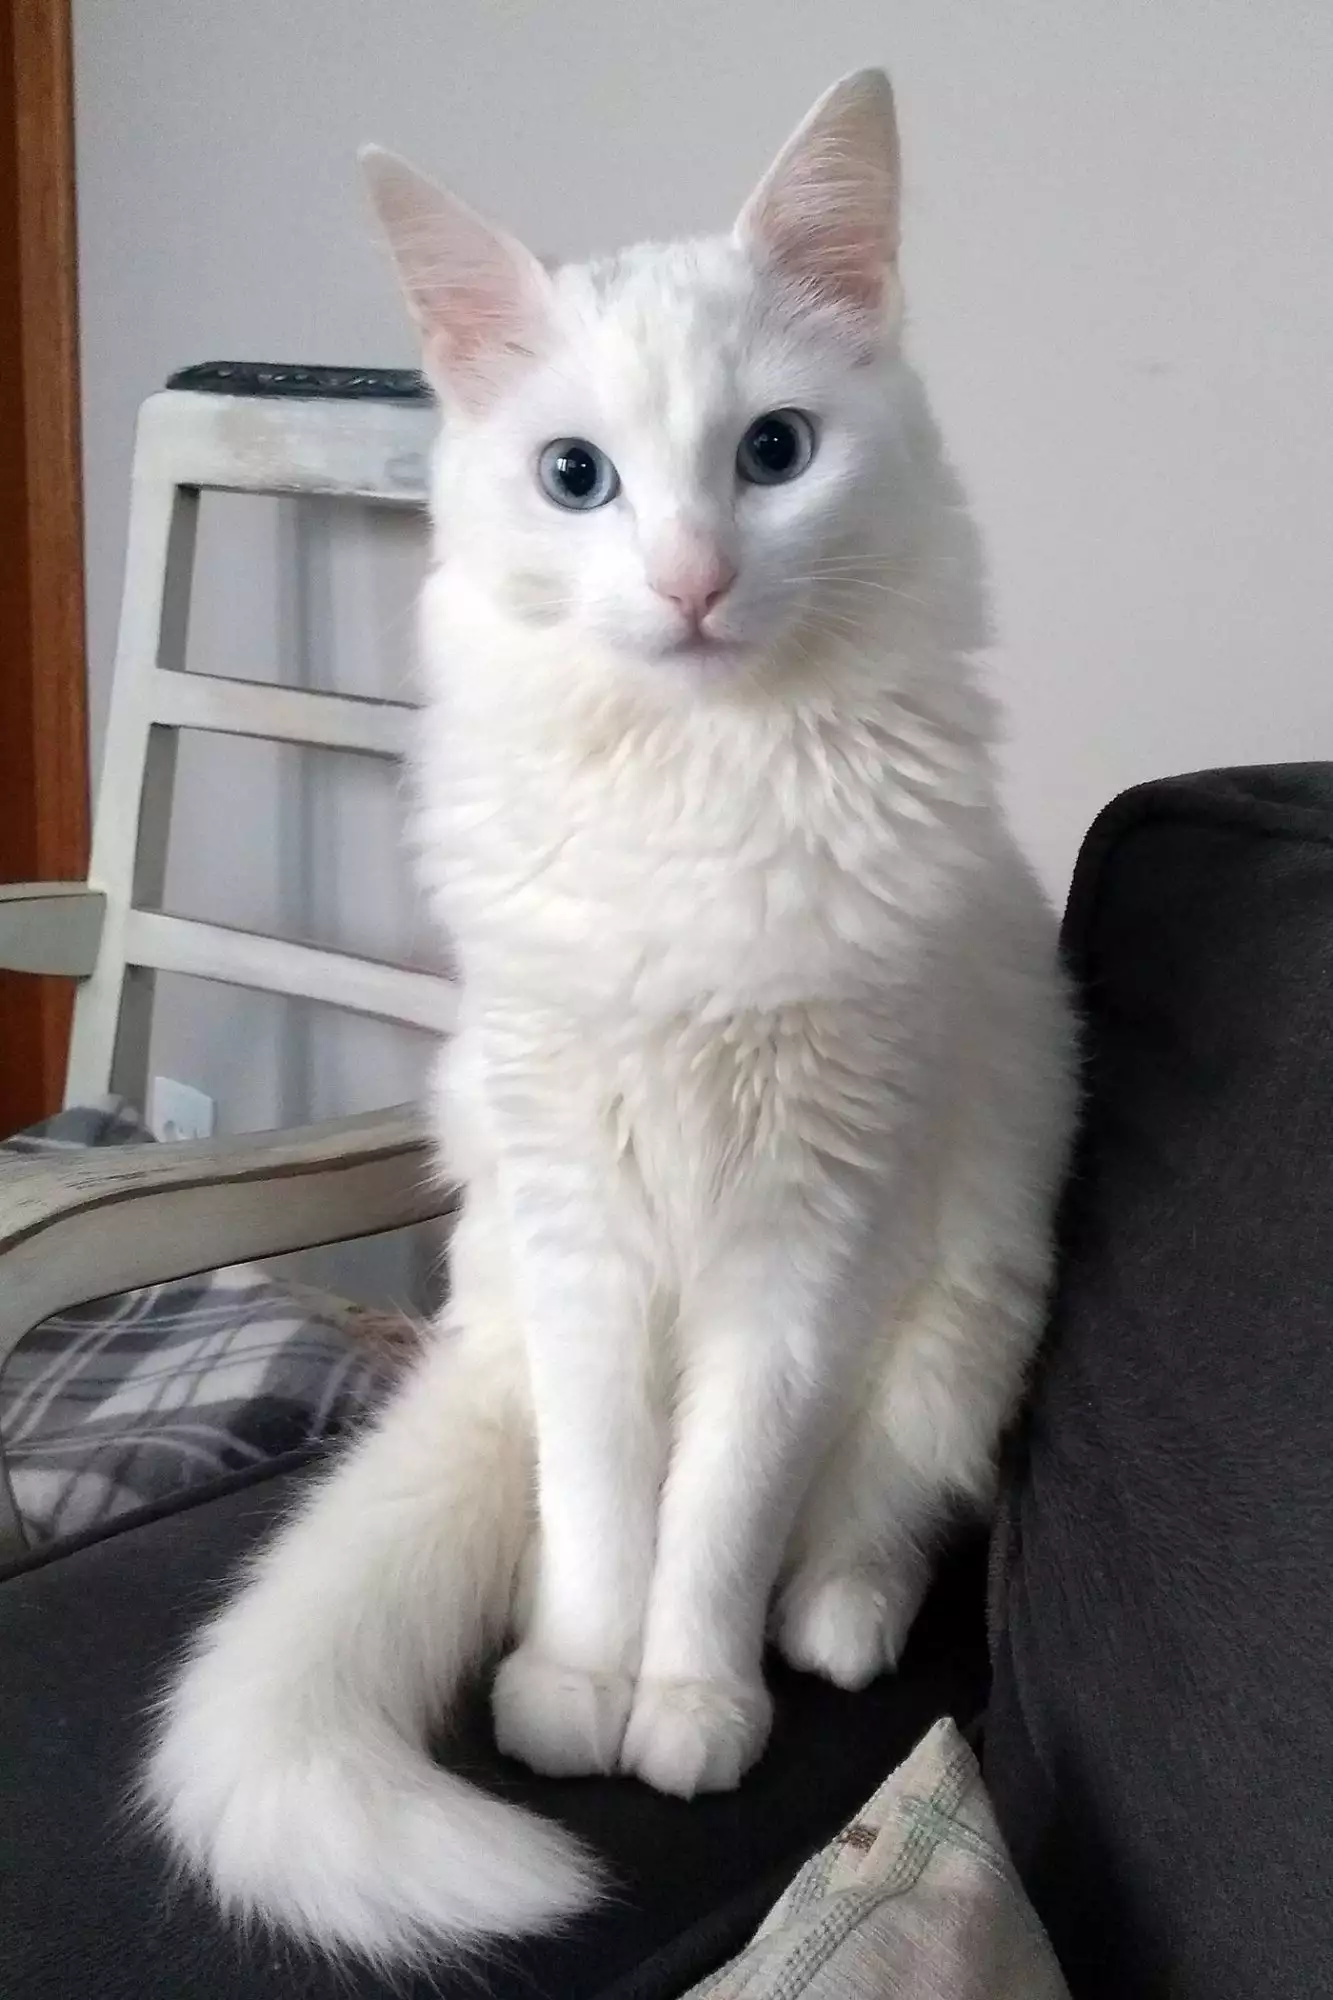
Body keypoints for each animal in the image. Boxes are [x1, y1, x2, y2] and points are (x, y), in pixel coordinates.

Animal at [143, 66, 1072, 1968]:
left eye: (772, 453)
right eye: (576, 479)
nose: (693, 579)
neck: (693, 786)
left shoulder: (805, 1248)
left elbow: (715, 1511)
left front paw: (688, 1703)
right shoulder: (578, 1232)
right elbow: (600, 1509)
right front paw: (578, 1688)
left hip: (963, 1319)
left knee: (864, 1515)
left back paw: (831, 1622)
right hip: (515, 1282)